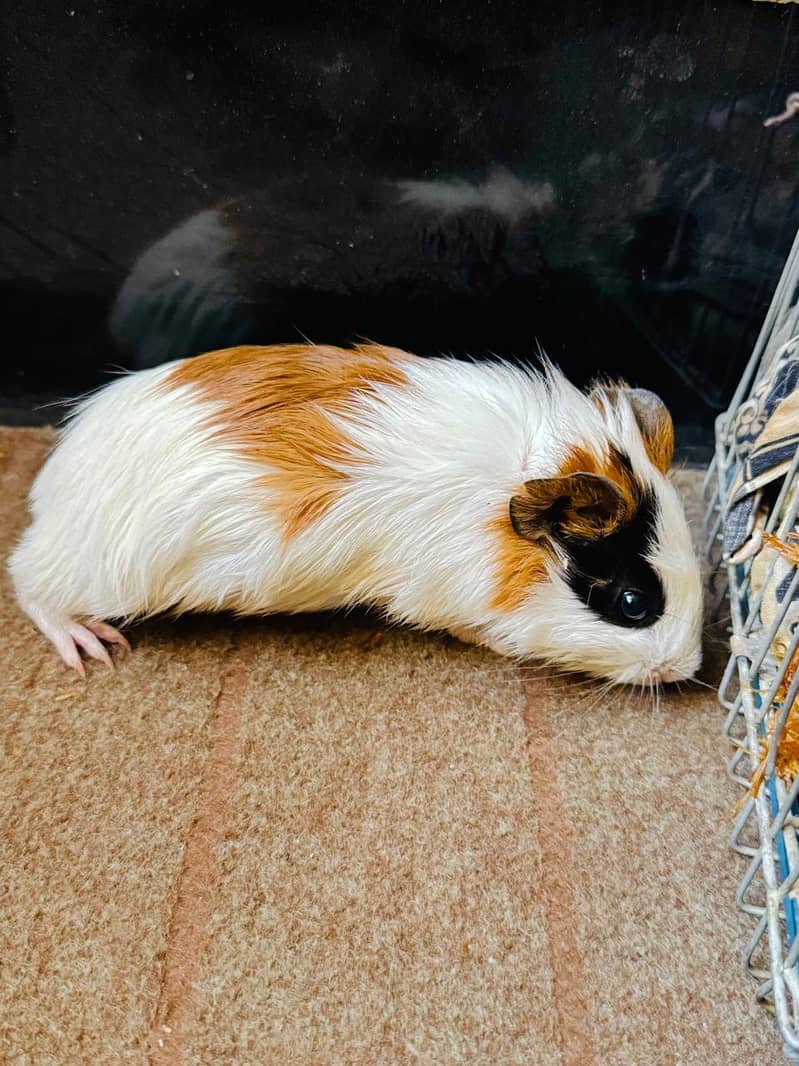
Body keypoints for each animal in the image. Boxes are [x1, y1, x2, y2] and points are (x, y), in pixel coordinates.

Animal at [8, 342, 703, 685]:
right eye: (634, 603)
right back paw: (92, 650)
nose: (688, 669)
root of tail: (54, 488)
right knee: (27, 584)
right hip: (97, 576)